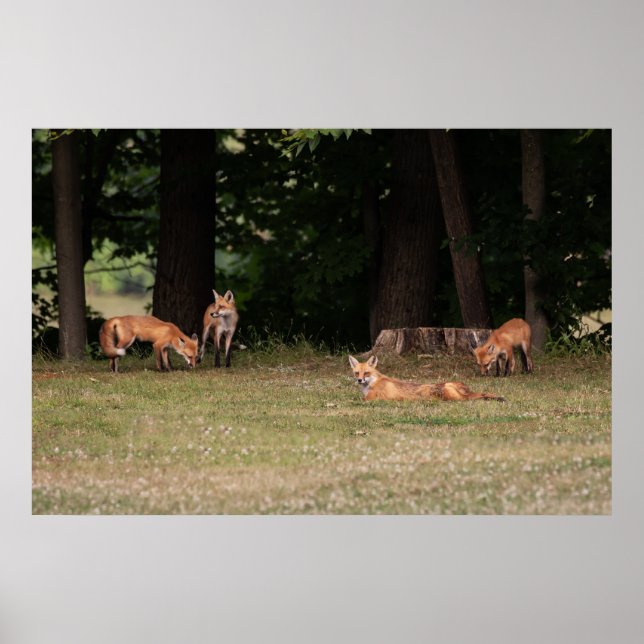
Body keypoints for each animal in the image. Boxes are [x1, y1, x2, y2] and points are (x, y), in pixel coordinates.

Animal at [348, 355, 505, 402]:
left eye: (366, 373)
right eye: (357, 373)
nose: (359, 380)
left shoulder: (369, 399)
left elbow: (354, 400)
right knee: (482, 394)